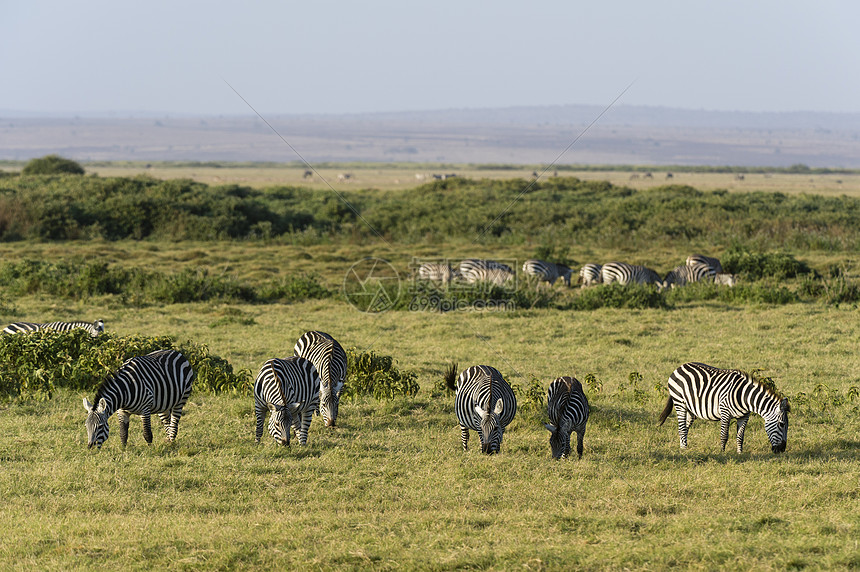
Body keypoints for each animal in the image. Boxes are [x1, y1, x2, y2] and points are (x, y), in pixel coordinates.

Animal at [660, 364, 792, 454]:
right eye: (781, 424)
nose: (782, 450)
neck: (744, 397)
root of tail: (680, 367)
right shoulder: (725, 412)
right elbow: (724, 435)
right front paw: (722, 453)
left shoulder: (744, 416)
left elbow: (740, 436)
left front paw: (740, 453)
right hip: (679, 403)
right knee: (681, 428)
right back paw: (683, 449)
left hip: (691, 409)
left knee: (685, 427)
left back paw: (684, 447)